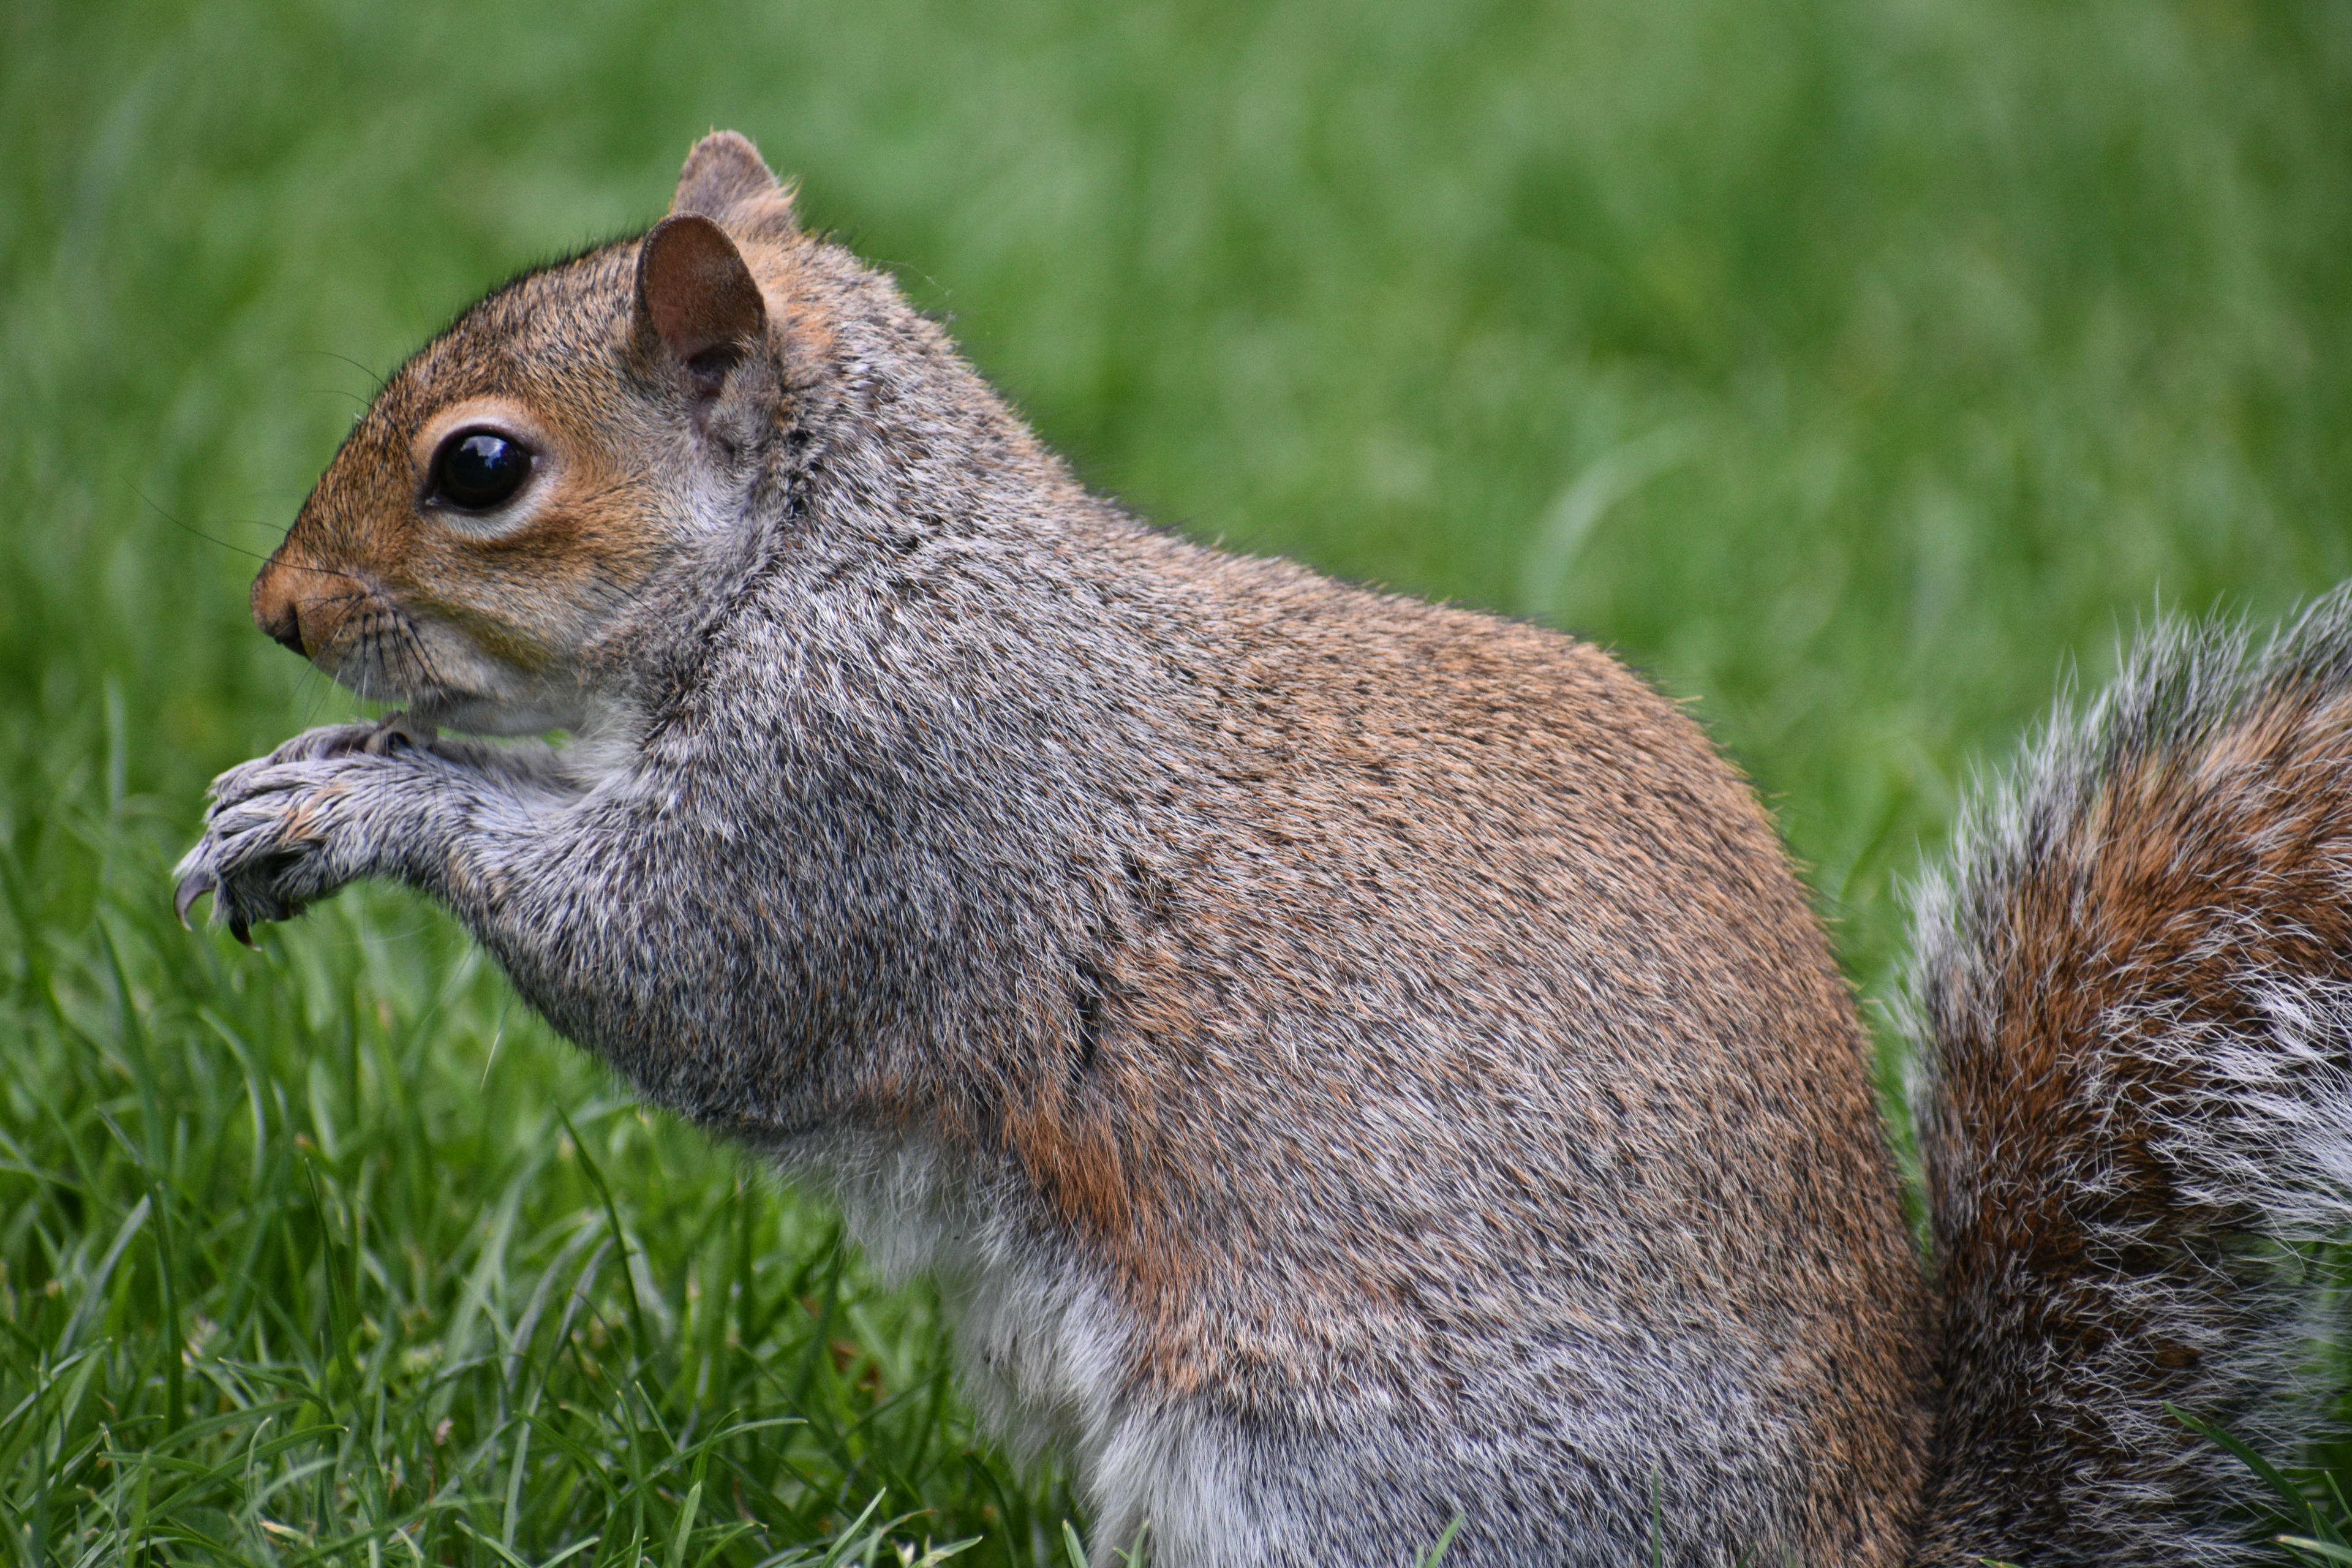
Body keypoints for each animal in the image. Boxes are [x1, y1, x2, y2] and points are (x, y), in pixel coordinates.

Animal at [172, 131, 2352, 1566]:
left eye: (481, 469)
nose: (270, 608)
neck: (844, 560)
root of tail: (1860, 1536)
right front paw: (307, 767)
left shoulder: (869, 808)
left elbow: (676, 966)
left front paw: (357, 803)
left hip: (1342, 1476)